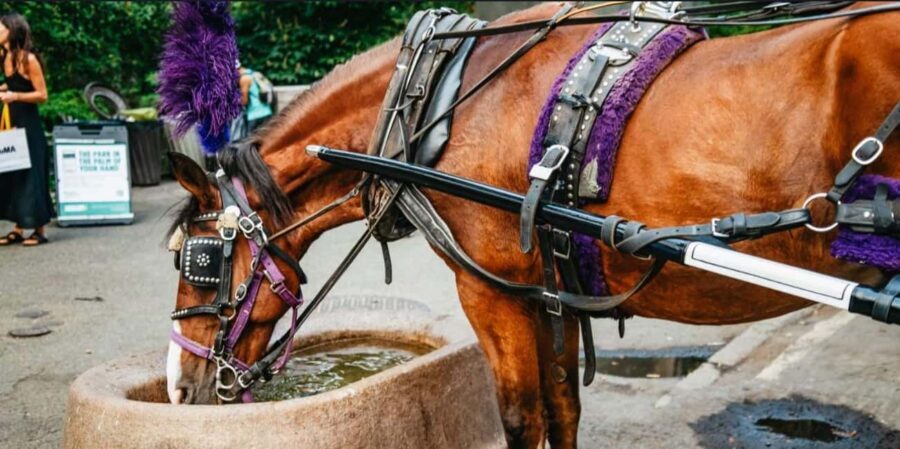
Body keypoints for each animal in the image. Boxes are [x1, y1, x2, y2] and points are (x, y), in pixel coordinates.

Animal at [165, 2, 899, 448]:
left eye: (198, 259)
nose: (178, 386)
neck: (445, 100)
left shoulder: (491, 291)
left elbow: (521, 417)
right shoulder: (553, 289)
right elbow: (563, 407)